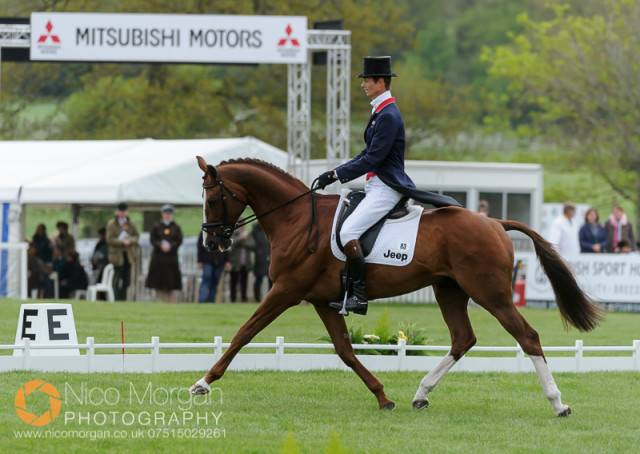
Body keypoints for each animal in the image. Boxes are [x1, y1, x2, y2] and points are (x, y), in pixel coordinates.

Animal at [190, 158, 600, 416]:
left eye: (211, 199)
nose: (211, 243)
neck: (296, 218)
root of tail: (494, 222)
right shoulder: (322, 300)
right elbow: (345, 351)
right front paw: (383, 397)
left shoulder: (285, 291)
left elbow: (244, 333)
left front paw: (203, 383)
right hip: (450, 291)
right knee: (462, 339)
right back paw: (420, 395)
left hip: (491, 295)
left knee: (527, 337)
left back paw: (558, 403)